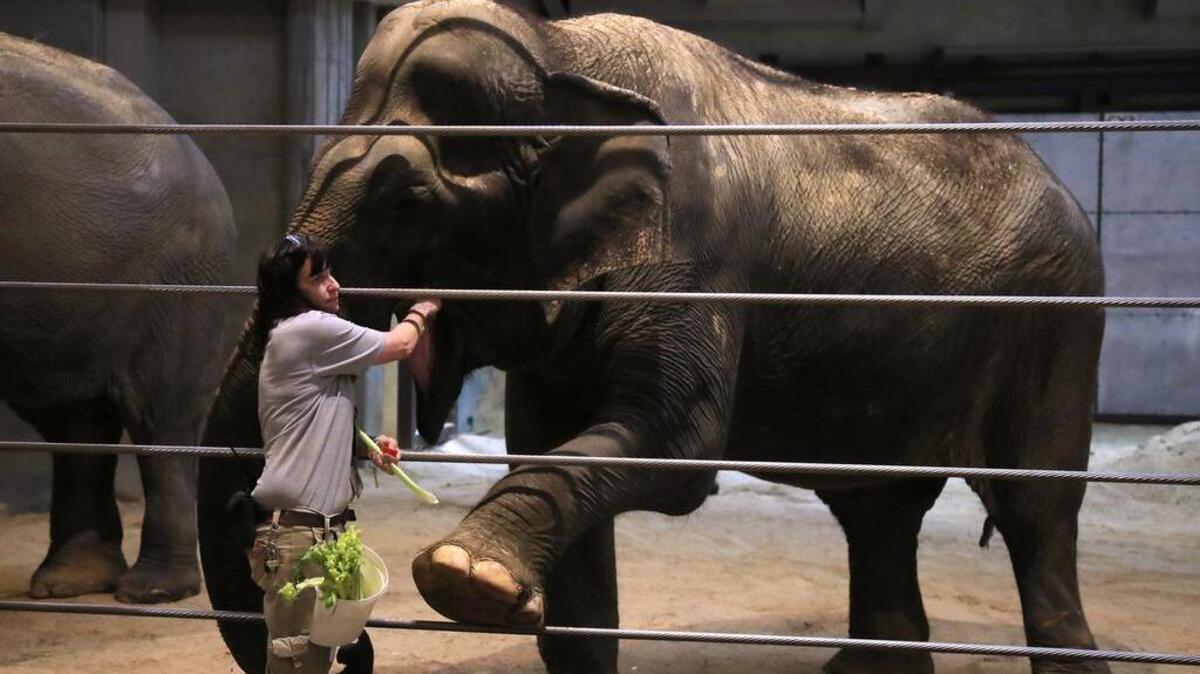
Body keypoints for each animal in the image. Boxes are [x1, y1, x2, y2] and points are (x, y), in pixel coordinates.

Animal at [199, 1, 1107, 672]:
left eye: (406, 201)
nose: (356, 645)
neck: (562, 51)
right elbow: (551, 451)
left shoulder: (695, 248)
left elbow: (675, 447)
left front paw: (468, 579)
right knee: (876, 510)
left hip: (1057, 319)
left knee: (1037, 513)